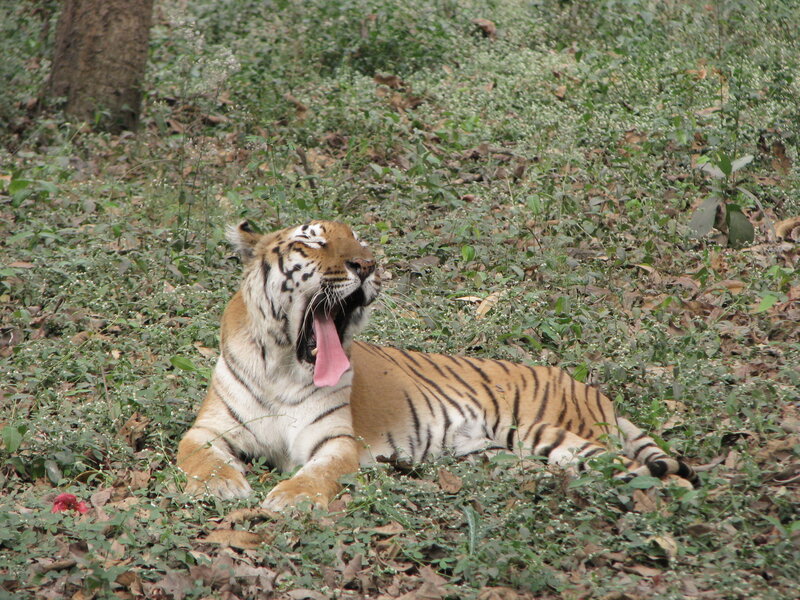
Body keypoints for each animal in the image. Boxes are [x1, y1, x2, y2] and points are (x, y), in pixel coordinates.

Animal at [177, 220, 698, 510]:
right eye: (314, 244)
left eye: (360, 241)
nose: (369, 265)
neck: (284, 365)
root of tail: (587, 386)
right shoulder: (208, 429)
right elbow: (197, 456)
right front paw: (224, 488)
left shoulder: (335, 442)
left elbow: (318, 474)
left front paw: (291, 498)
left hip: (551, 432)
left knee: (649, 472)